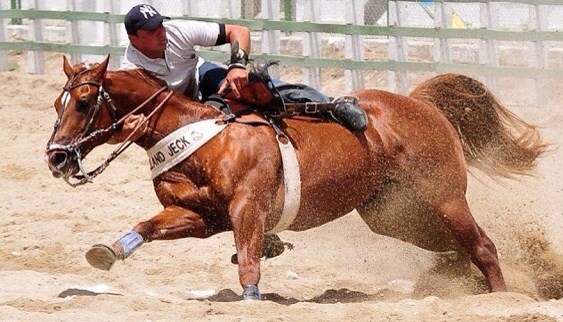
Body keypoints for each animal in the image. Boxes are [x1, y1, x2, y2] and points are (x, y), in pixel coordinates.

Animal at [44, 55, 548, 300]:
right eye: (57, 103)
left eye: (85, 103)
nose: (57, 157)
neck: (204, 139)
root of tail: (420, 103)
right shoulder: (199, 216)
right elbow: (147, 227)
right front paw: (108, 251)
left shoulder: (247, 209)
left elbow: (249, 260)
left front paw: (251, 299)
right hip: (393, 215)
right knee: (457, 248)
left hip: (445, 198)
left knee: (483, 246)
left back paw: (501, 298)